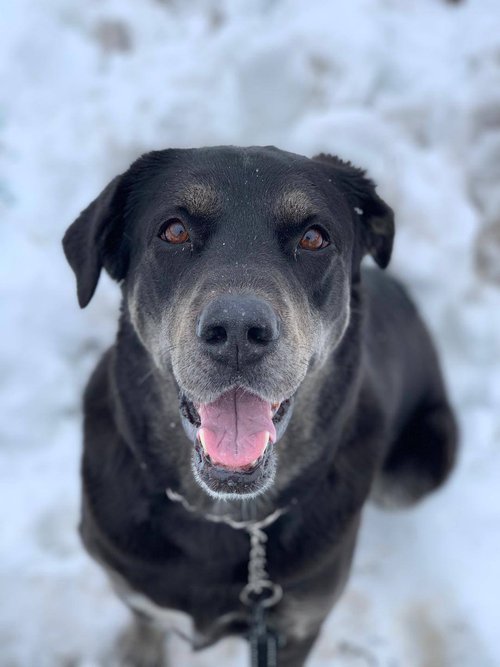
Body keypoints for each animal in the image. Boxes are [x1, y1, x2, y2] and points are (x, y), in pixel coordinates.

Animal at [61, 147, 458, 667]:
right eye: (174, 231)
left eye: (314, 237)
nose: (237, 331)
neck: (230, 518)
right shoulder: (130, 583)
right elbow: (145, 621)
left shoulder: (296, 627)